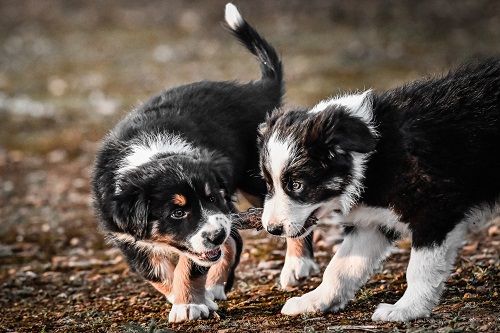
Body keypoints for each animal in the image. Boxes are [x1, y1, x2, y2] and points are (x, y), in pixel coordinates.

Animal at [92, 3, 284, 322]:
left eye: (211, 197)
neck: (152, 153)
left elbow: (190, 266)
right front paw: (185, 298)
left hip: (257, 178)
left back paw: (296, 267)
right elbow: (156, 272)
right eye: (177, 212)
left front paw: (188, 305)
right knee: (234, 241)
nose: (216, 233)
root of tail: (255, 90)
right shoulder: (126, 235)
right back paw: (216, 286)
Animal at [260, 58, 498, 320]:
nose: (272, 229)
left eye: (296, 185)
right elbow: (340, 266)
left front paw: (406, 309)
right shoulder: (371, 222)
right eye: (269, 184)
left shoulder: (434, 209)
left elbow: (420, 267)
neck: (371, 158)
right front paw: (314, 300)